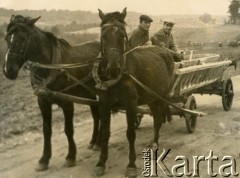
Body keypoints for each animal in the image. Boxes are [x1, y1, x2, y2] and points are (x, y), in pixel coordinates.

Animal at [3, 14, 101, 171]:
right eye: (7, 38)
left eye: (22, 38)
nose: (8, 70)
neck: (51, 66)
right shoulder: (43, 102)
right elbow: (46, 130)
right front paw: (44, 159)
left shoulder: (67, 102)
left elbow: (68, 129)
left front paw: (70, 156)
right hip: (89, 93)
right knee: (96, 115)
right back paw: (94, 141)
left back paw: (99, 142)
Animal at [94, 8, 175, 177]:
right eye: (103, 35)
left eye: (122, 35)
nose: (113, 69)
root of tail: (165, 52)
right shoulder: (104, 104)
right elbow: (105, 133)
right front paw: (101, 162)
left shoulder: (130, 104)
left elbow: (131, 133)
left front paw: (131, 165)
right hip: (151, 98)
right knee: (157, 117)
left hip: (161, 97)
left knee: (158, 119)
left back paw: (155, 142)